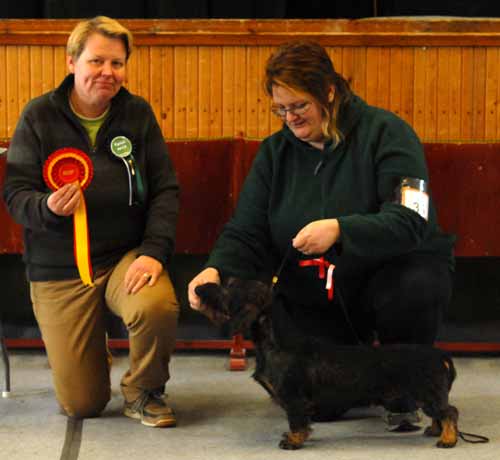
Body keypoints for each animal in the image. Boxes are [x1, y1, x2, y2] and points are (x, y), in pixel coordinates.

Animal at [193, 276, 458, 450]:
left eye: (228, 287)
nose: (197, 287)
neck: (276, 342)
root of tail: (439, 355)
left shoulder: (294, 398)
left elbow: (297, 422)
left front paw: (293, 441)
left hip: (428, 394)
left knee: (449, 412)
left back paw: (447, 439)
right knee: (442, 413)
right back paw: (435, 431)